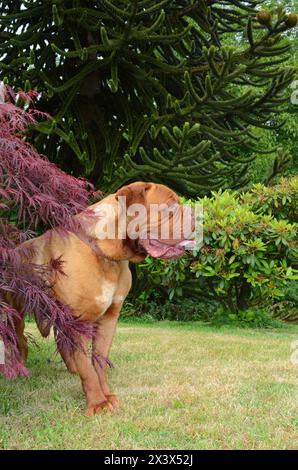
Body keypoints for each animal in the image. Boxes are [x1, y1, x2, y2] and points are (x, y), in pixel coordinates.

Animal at [12, 183, 194, 414]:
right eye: (170, 206)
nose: (195, 215)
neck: (109, 256)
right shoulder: (77, 321)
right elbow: (88, 368)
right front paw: (97, 403)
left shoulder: (109, 319)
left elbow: (98, 362)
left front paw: (106, 394)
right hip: (16, 312)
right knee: (20, 341)